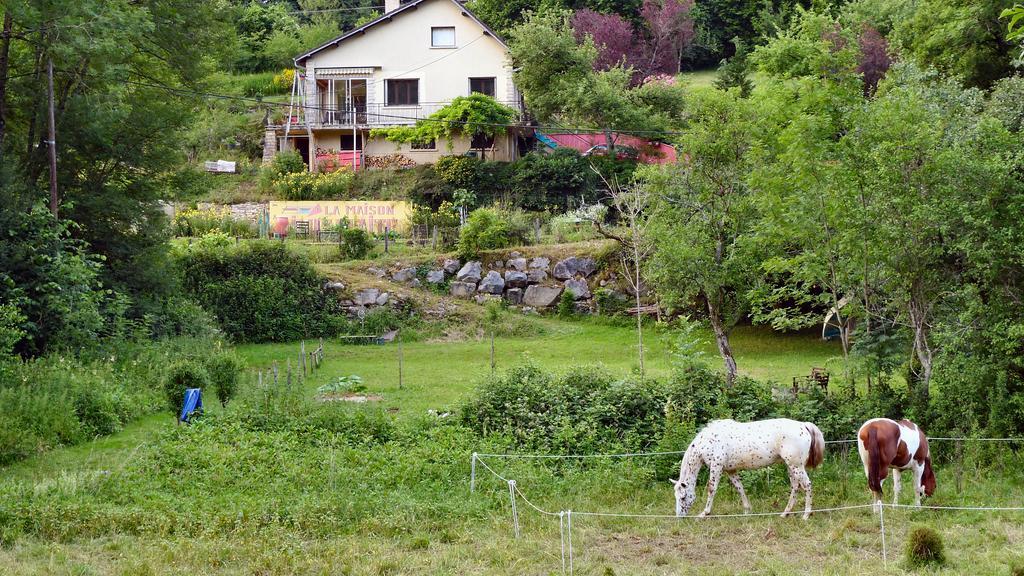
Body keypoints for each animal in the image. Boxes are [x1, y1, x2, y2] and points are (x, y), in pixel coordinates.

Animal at [671, 414, 823, 518]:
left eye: (683, 497)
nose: (679, 517)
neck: (708, 441)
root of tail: (803, 425)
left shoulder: (716, 467)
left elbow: (711, 489)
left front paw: (704, 513)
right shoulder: (730, 470)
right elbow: (740, 487)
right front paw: (747, 510)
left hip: (796, 466)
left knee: (807, 485)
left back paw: (806, 515)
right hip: (791, 466)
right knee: (795, 487)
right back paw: (785, 513)